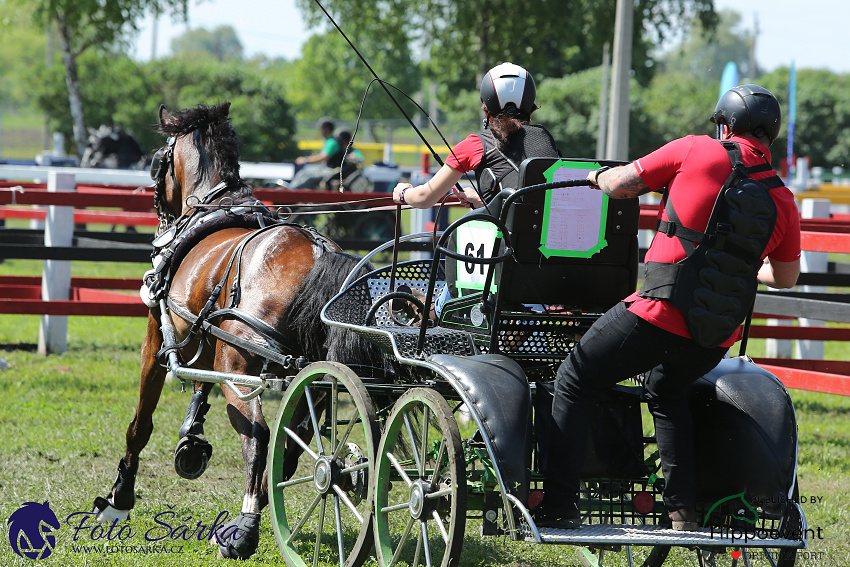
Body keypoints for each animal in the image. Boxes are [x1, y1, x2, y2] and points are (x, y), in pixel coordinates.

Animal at [93, 102, 384, 560]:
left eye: (159, 158)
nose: (160, 217)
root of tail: (322, 253)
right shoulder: (207, 335)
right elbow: (200, 385)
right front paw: (191, 439)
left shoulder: (157, 337)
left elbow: (140, 424)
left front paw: (118, 499)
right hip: (313, 378)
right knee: (293, 441)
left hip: (241, 364)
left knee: (261, 435)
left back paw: (245, 527)